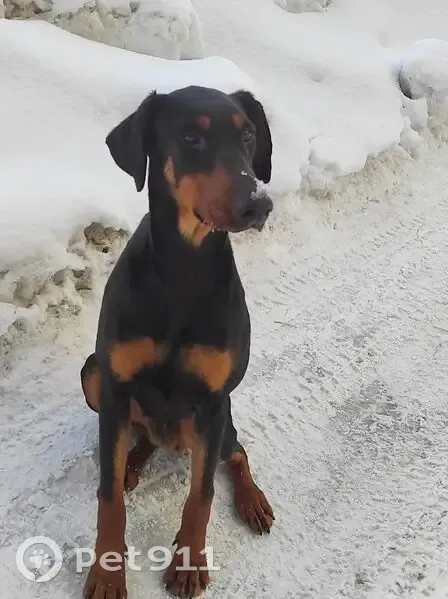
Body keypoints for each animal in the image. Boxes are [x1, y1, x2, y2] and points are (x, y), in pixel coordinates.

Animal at [80, 85, 275, 599]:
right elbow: (108, 494)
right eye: (191, 137)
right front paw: (107, 573)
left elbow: (201, 494)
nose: (259, 204)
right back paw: (132, 461)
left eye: (248, 135)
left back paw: (253, 500)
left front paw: (188, 562)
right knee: (139, 437)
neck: (183, 270)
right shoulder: (115, 387)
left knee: (236, 453)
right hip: (92, 376)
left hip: (219, 421)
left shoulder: (212, 400)